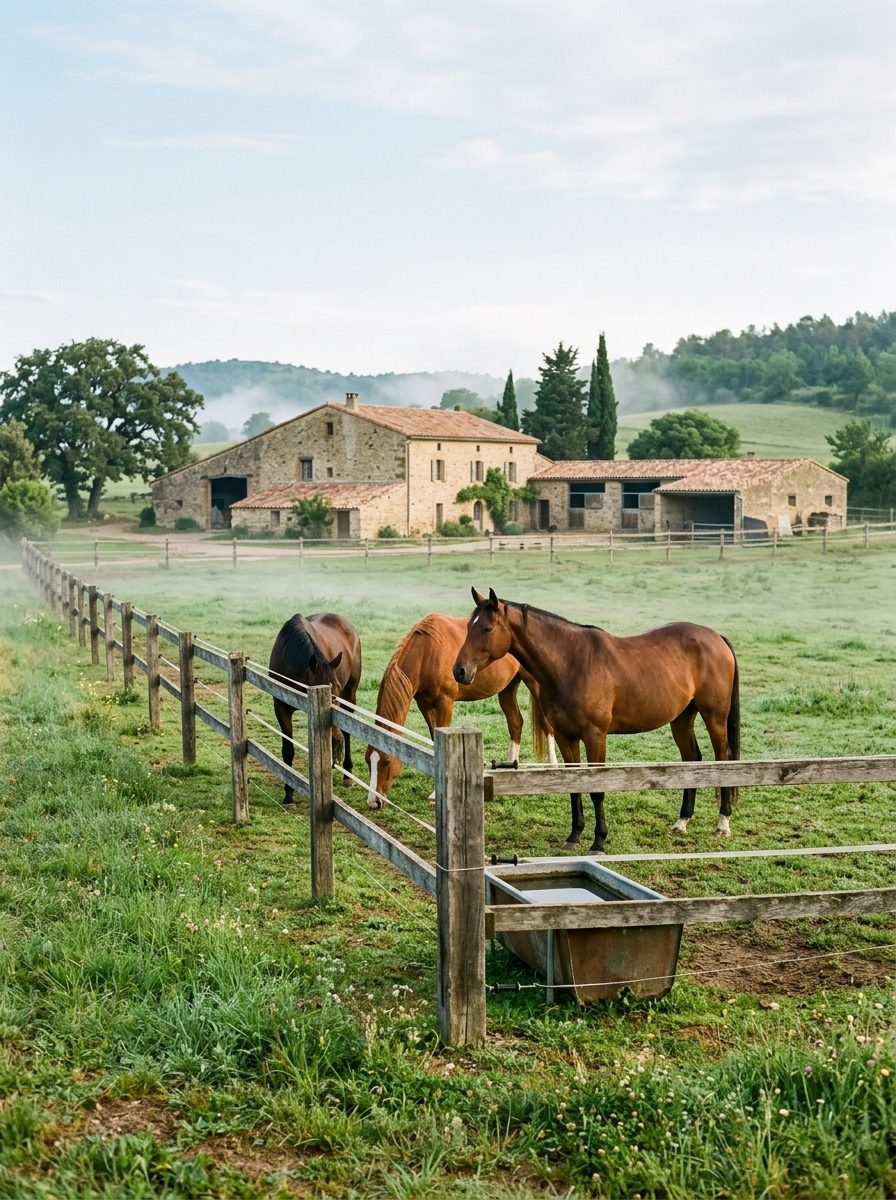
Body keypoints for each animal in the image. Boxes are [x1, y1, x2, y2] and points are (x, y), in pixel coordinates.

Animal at [269, 613, 362, 805]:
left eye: (336, 688)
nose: (335, 738)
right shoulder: (280, 706)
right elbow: (288, 750)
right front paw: (289, 795)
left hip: (350, 693)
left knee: (347, 732)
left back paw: (347, 773)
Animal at [365, 613, 556, 809]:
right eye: (367, 760)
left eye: (386, 761)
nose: (373, 802)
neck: (428, 652)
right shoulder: (425, 705)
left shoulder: (445, 702)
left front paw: (435, 794)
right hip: (508, 688)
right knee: (515, 722)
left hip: (534, 684)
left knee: (547, 724)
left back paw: (554, 768)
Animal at [452, 588, 740, 852]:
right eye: (468, 627)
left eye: (487, 628)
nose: (459, 671)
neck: (572, 663)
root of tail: (717, 638)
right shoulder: (566, 736)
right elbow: (574, 785)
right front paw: (574, 836)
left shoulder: (595, 736)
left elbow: (596, 789)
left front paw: (599, 841)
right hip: (681, 719)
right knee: (692, 759)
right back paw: (682, 821)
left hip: (714, 717)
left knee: (723, 759)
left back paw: (722, 824)